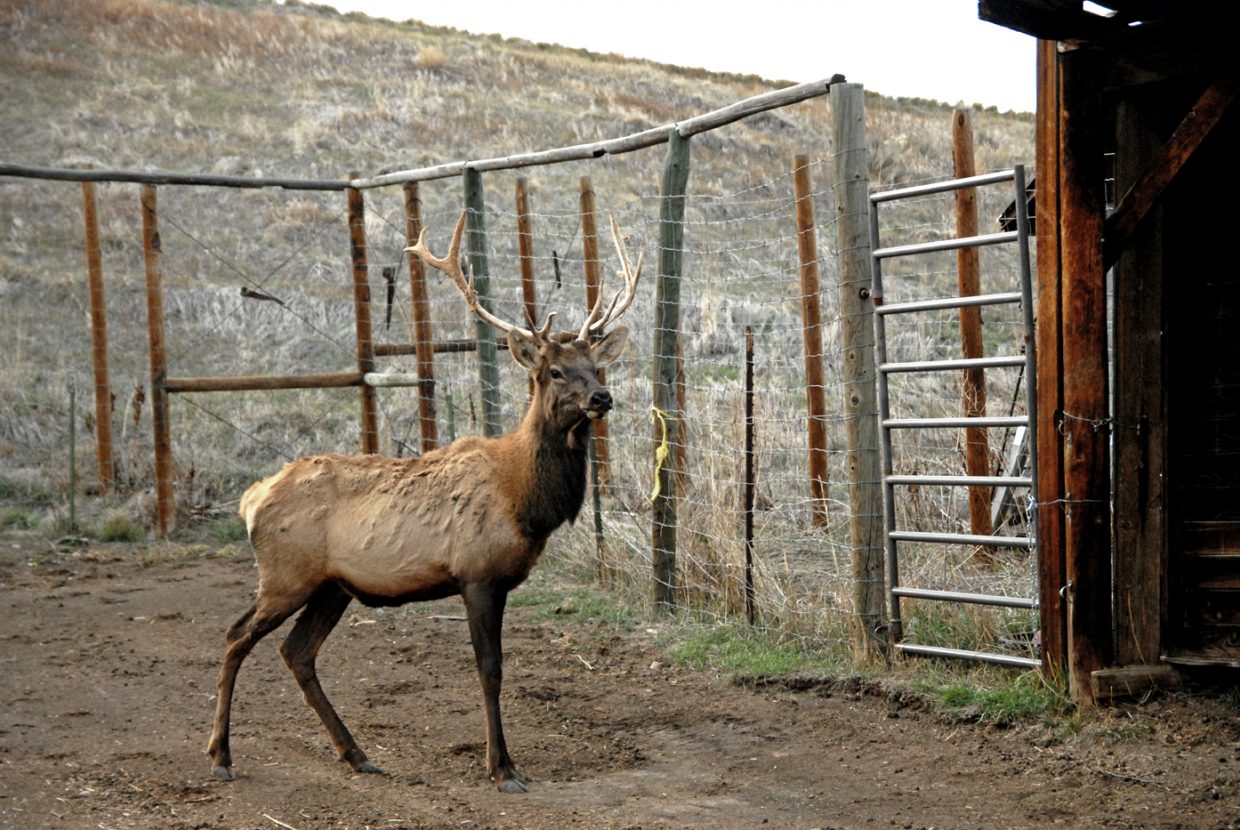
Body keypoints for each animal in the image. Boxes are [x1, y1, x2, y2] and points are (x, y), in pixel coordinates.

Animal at [206, 210, 642, 793]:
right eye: (554, 370)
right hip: (286, 574)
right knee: (237, 636)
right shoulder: (477, 572)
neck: (524, 500)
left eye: (598, 366)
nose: (601, 397)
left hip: (331, 586)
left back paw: (358, 754)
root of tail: (251, 498)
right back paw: (221, 755)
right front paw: (502, 767)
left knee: (296, 652)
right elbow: (490, 669)